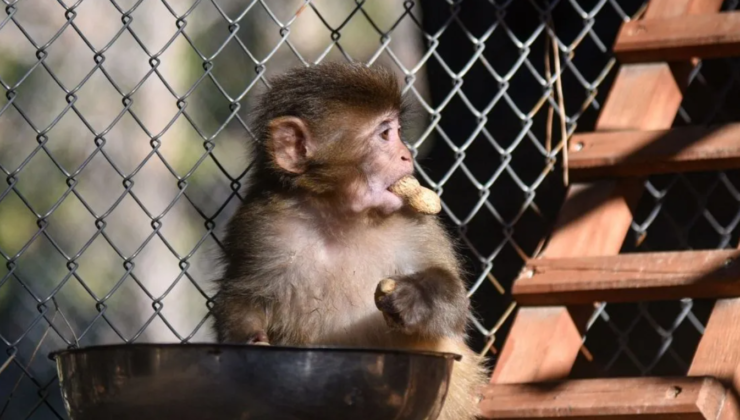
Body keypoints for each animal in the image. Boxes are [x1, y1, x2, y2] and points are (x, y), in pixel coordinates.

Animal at [210, 62, 486, 420]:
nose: (406, 155)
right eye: (385, 134)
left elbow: (455, 307)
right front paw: (249, 340)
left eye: (397, 131)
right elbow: (241, 296)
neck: (340, 218)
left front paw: (416, 296)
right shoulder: (260, 225)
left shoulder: (417, 222)